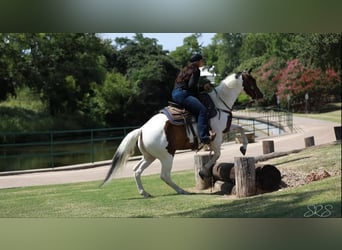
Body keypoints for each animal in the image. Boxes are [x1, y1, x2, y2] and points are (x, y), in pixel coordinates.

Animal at [100, 69, 264, 197]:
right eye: (252, 80)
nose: (260, 95)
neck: (219, 104)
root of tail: (142, 130)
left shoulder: (225, 129)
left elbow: (241, 129)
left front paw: (243, 148)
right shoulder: (216, 136)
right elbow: (217, 154)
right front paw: (203, 172)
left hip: (149, 157)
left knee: (136, 170)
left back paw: (145, 193)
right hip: (167, 156)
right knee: (164, 175)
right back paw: (181, 190)